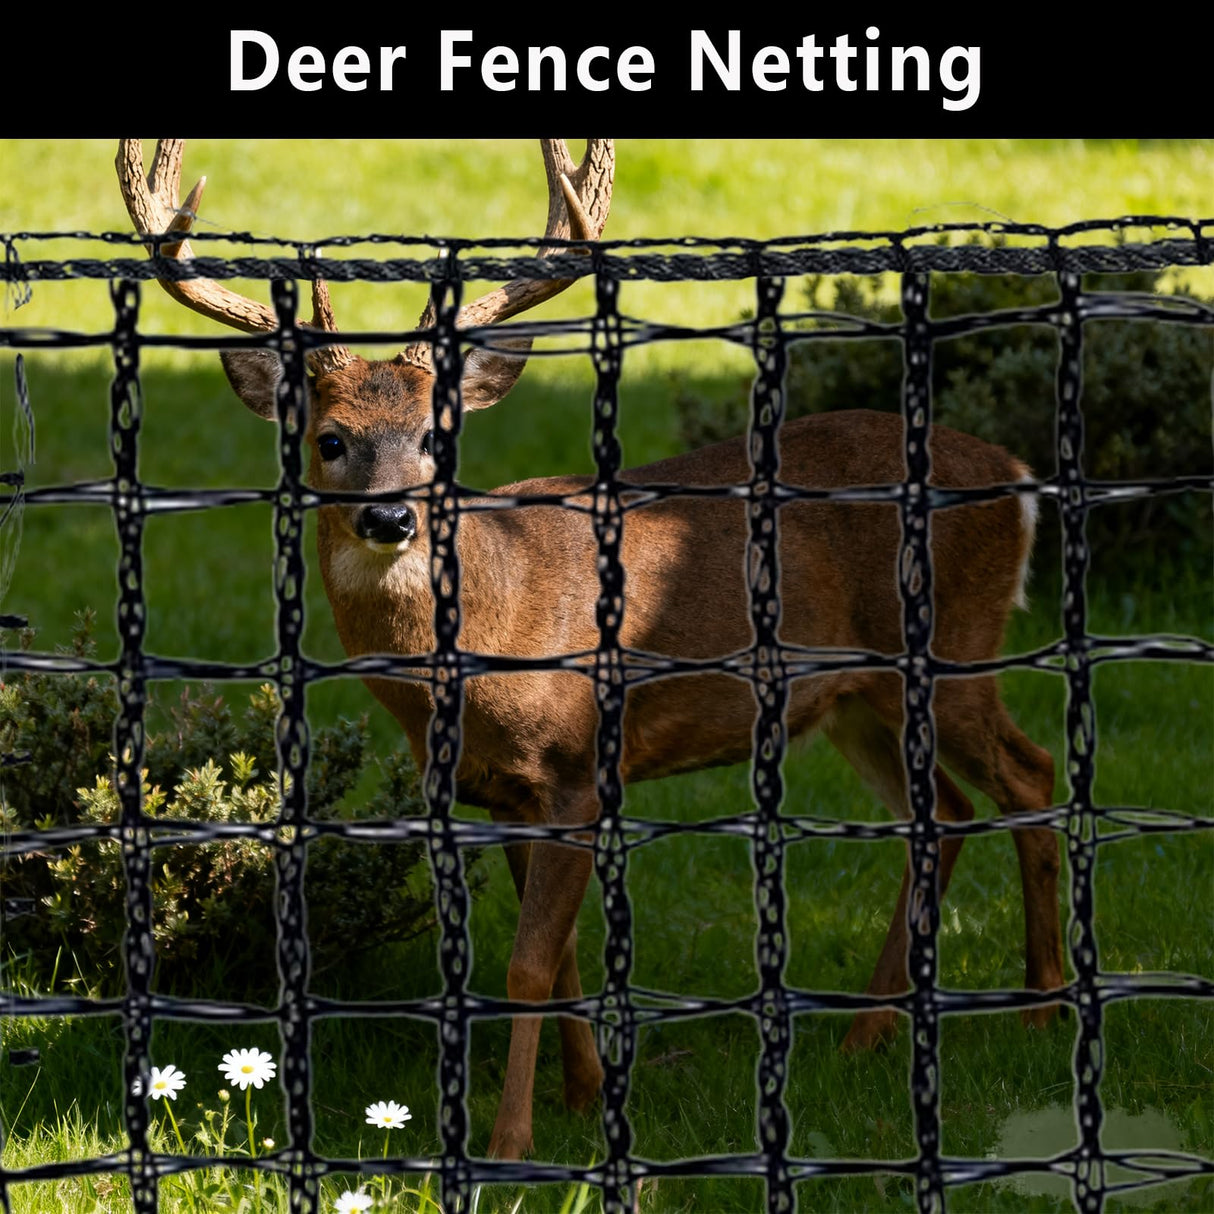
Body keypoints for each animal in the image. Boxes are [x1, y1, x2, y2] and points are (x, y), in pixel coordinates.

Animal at [116, 138, 1066, 1160]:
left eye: (436, 437)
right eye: (329, 440)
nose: (390, 517)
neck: (485, 643)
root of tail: (1017, 476)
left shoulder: (574, 767)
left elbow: (530, 964)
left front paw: (510, 1144)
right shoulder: (500, 794)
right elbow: (563, 956)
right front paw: (585, 1091)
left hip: (953, 645)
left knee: (1030, 774)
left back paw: (1043, 1009)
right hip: (854, 697)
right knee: (945, 813)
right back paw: (870, 1030)